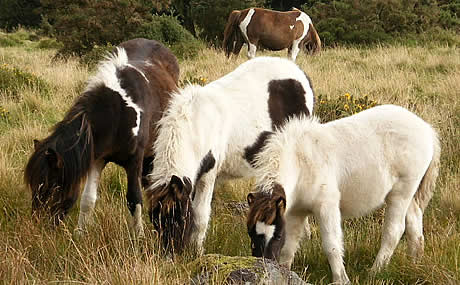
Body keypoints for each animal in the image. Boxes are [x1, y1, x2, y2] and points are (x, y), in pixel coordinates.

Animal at [23, 38, 180, 236]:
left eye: (52, 187)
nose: (37, 228)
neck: (118, 113)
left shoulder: (134, 161)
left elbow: (134, 199)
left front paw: (139, 236)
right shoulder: (96, 158)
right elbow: (88, 198)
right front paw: (80, 233)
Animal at [147, 56, 316, 252]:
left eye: (180, 217)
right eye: (154, 220)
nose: (171, 254)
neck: (196, 125)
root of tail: (298, 72)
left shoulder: (208, 175)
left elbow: (200, 216)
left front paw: (197, 252)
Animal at [246, 105, 440, 284]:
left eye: (277, 235)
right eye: (251, 233)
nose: (264, 267)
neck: (301, 161)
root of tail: (426, 129)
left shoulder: (326, 206)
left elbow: (331, 245)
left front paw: (341, 279)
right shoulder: (296, 212)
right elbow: (290, 246)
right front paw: (285, 273)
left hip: (400, 194)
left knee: (395, 231)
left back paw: (375, 272)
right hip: (409, 195)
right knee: (414, 224)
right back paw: (414, 265)